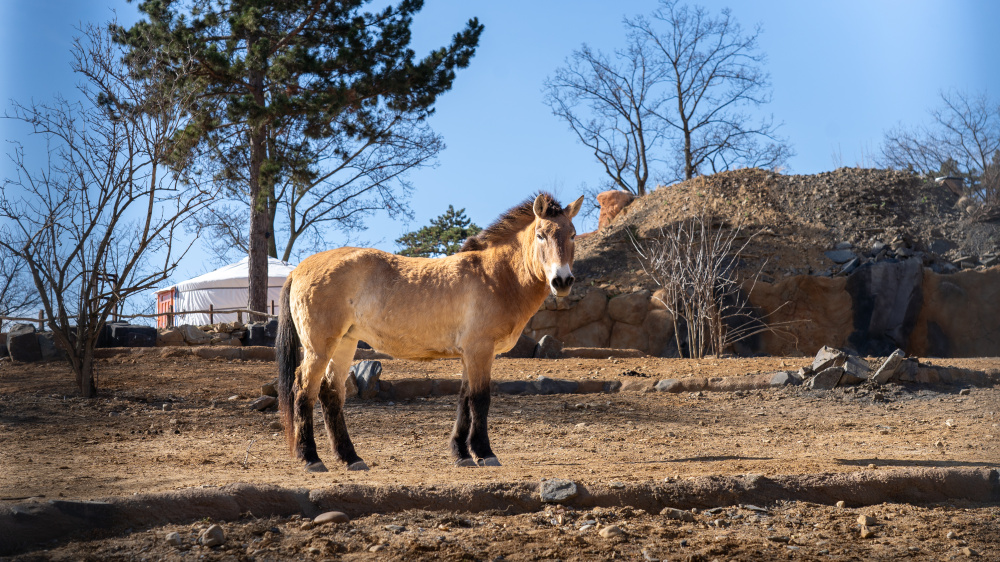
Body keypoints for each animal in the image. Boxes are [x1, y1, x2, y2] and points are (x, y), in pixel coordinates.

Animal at [278, 192, 584, 468]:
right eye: (541, 235)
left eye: (572, 234)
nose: (562, 281)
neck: (495, 276)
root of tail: (299, 269)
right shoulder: (480, 351)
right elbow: (480, 400)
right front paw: (485, 453)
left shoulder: (470, 355)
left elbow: (464, 400)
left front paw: (462, 454)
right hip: (319, 348)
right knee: (304, 390)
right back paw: (311, 458)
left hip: (345, 343)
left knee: (331, 393)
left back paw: (351, 458)